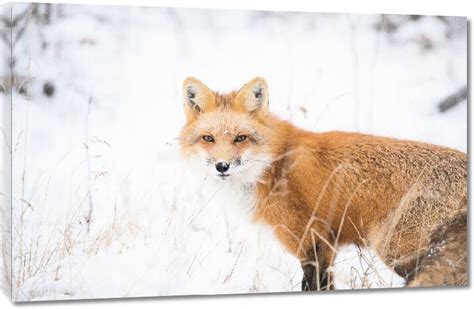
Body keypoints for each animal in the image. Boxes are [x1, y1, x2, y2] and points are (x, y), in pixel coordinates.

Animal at [180, 76, 468, 288]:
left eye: (240, 138)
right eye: (208, 138)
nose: (222, 166)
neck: (276, 164)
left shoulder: (312, 239)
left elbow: (313, 286)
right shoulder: (324, 244)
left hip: (397, 250)